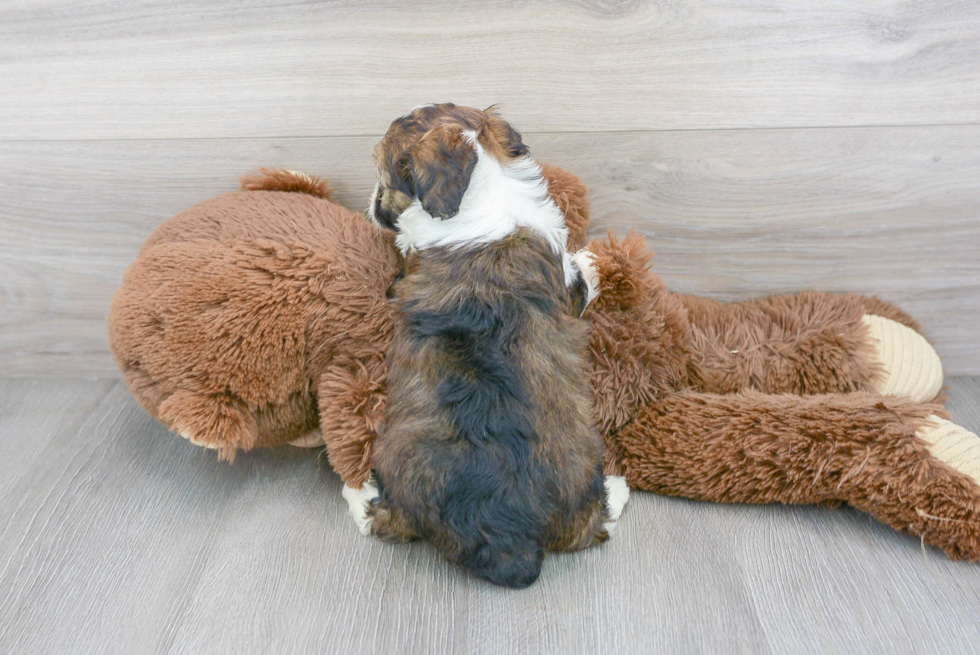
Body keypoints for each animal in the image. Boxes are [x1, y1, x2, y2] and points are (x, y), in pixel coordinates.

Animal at [346, 104, 628, 588]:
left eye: (385, 178)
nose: (370, 205)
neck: (482, 188)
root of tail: (507, 535)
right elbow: (579, 279)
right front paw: (592, 261)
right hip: (582, 479)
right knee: (593, 525)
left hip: (395, 466)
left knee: (382, 520)